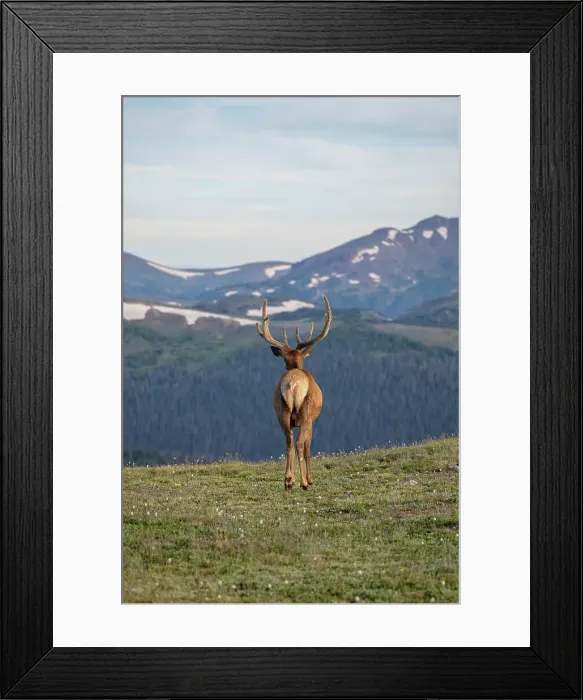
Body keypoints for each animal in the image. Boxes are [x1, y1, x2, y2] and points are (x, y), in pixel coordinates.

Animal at [256, 296, 332, 490]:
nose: (308, 481)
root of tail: (293, 384)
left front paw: (291, 478)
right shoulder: (312, 420)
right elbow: (308, 447)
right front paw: (310, 479)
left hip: (281, 410)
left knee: (289, 441)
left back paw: (288, 480)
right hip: (305, 411)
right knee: (298, 443)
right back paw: (304, 482)